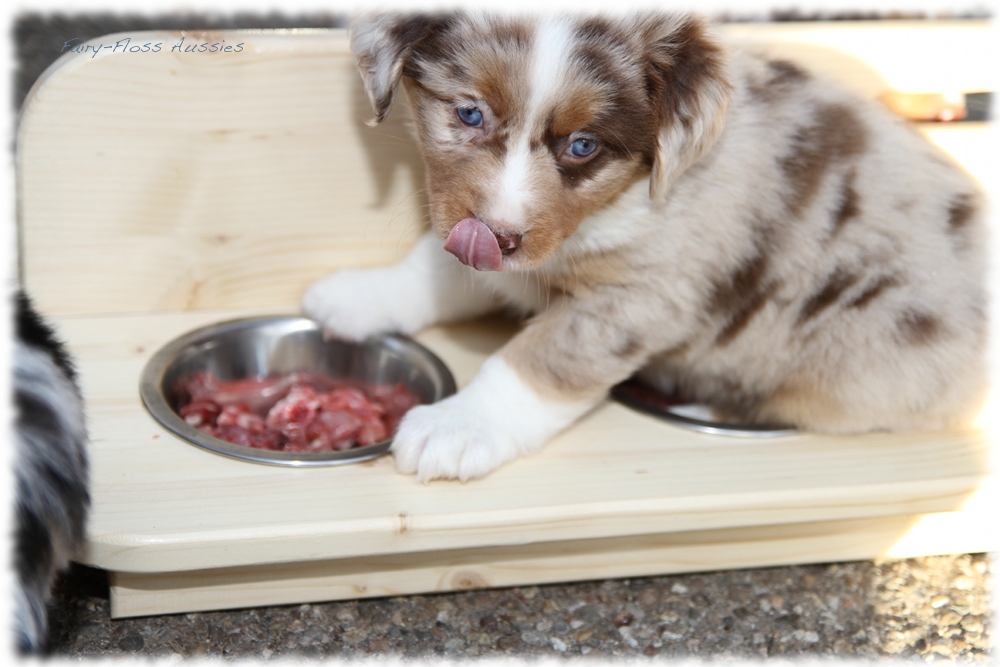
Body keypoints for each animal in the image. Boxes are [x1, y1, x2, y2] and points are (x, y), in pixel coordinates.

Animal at [302, 9, 984, 480]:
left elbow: (539, 359)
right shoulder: (474, 234)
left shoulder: (641, 296)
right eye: (469, 114)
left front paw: (460, 426)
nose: (502, 238)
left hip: (859, 355)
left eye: (582, 146)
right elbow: (438, 267)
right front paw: (359, 297)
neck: (615, 200)